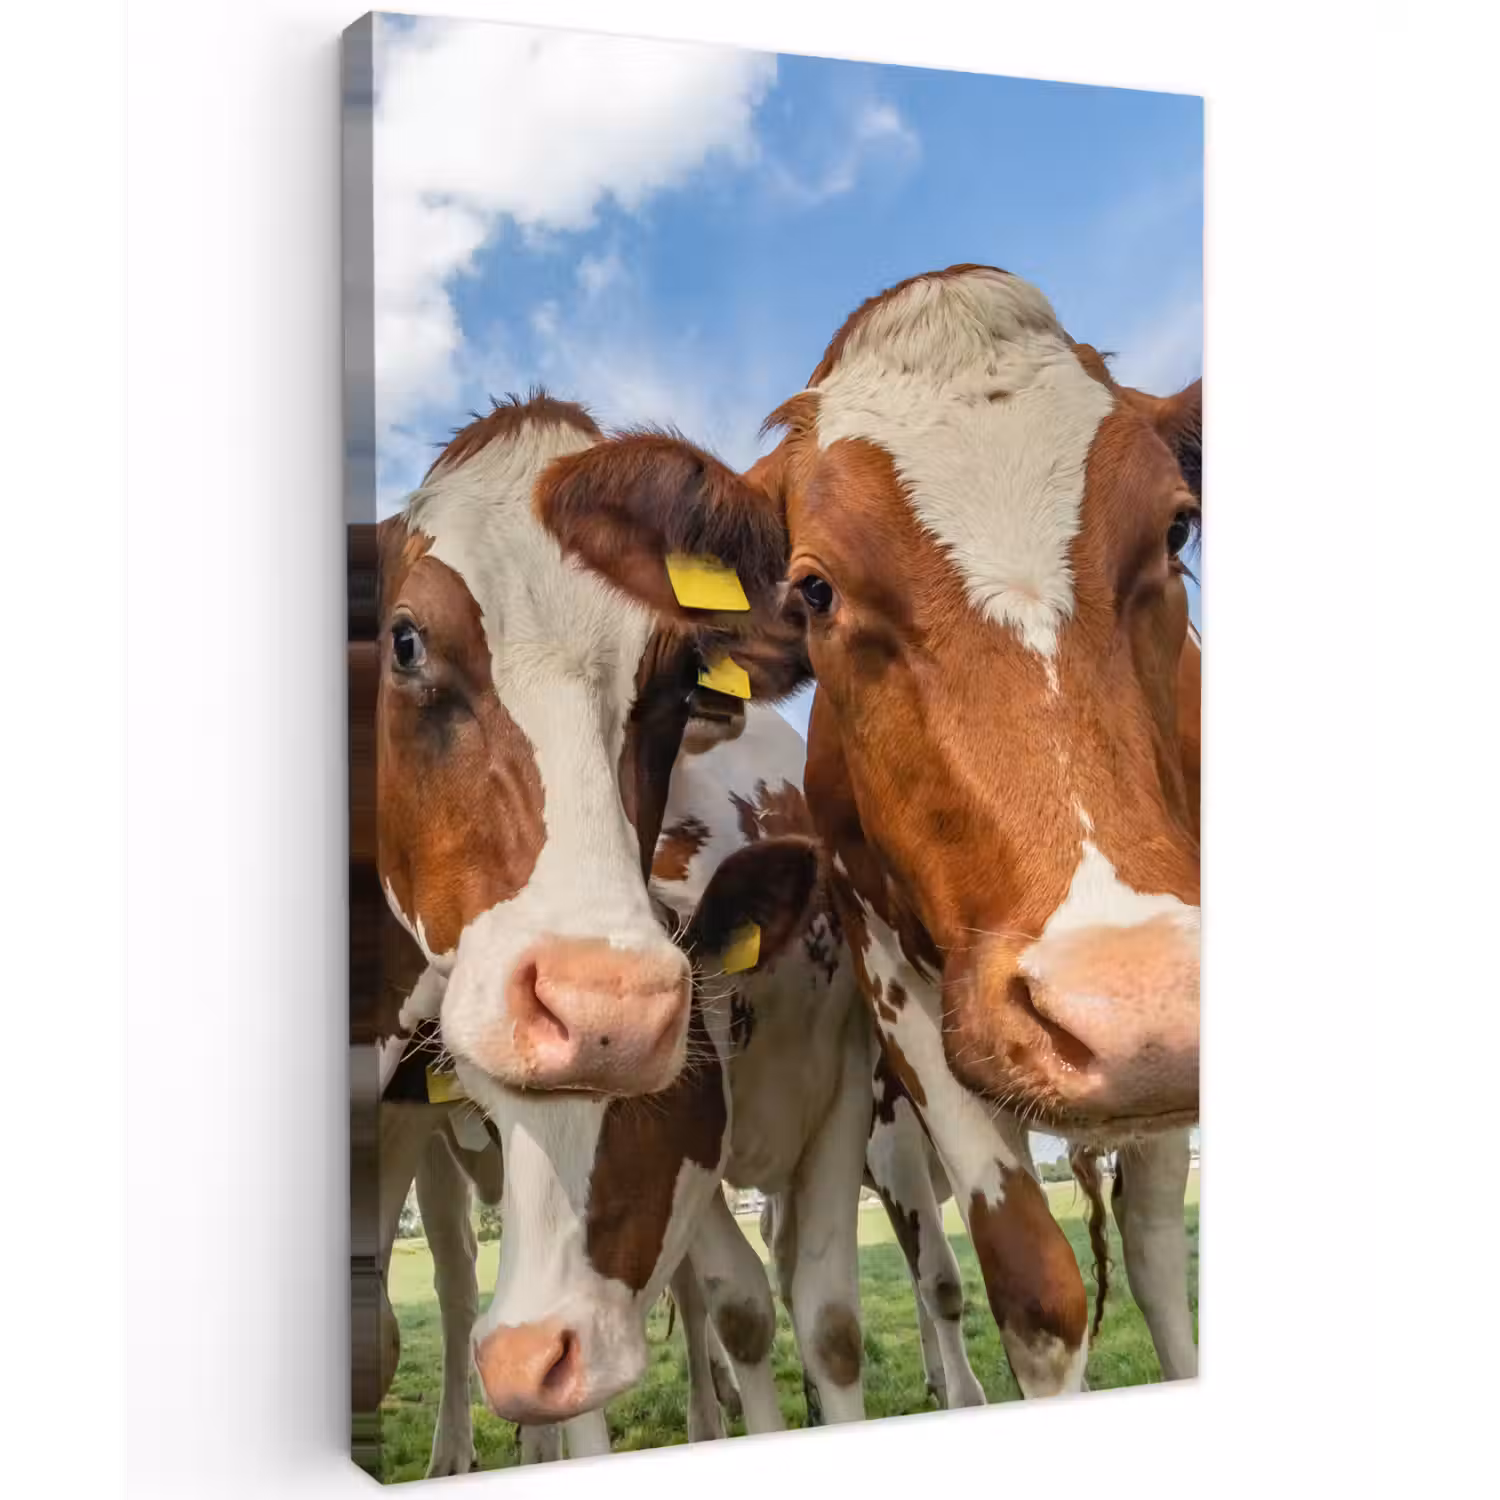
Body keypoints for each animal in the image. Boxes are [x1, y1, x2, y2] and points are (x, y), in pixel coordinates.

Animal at [529, 264, 1202, 1395]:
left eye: (1178, 532)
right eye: (815, 589)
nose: (1128, 1007)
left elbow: (1155, 1252)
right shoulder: (896, 991)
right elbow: (1033, 1290)